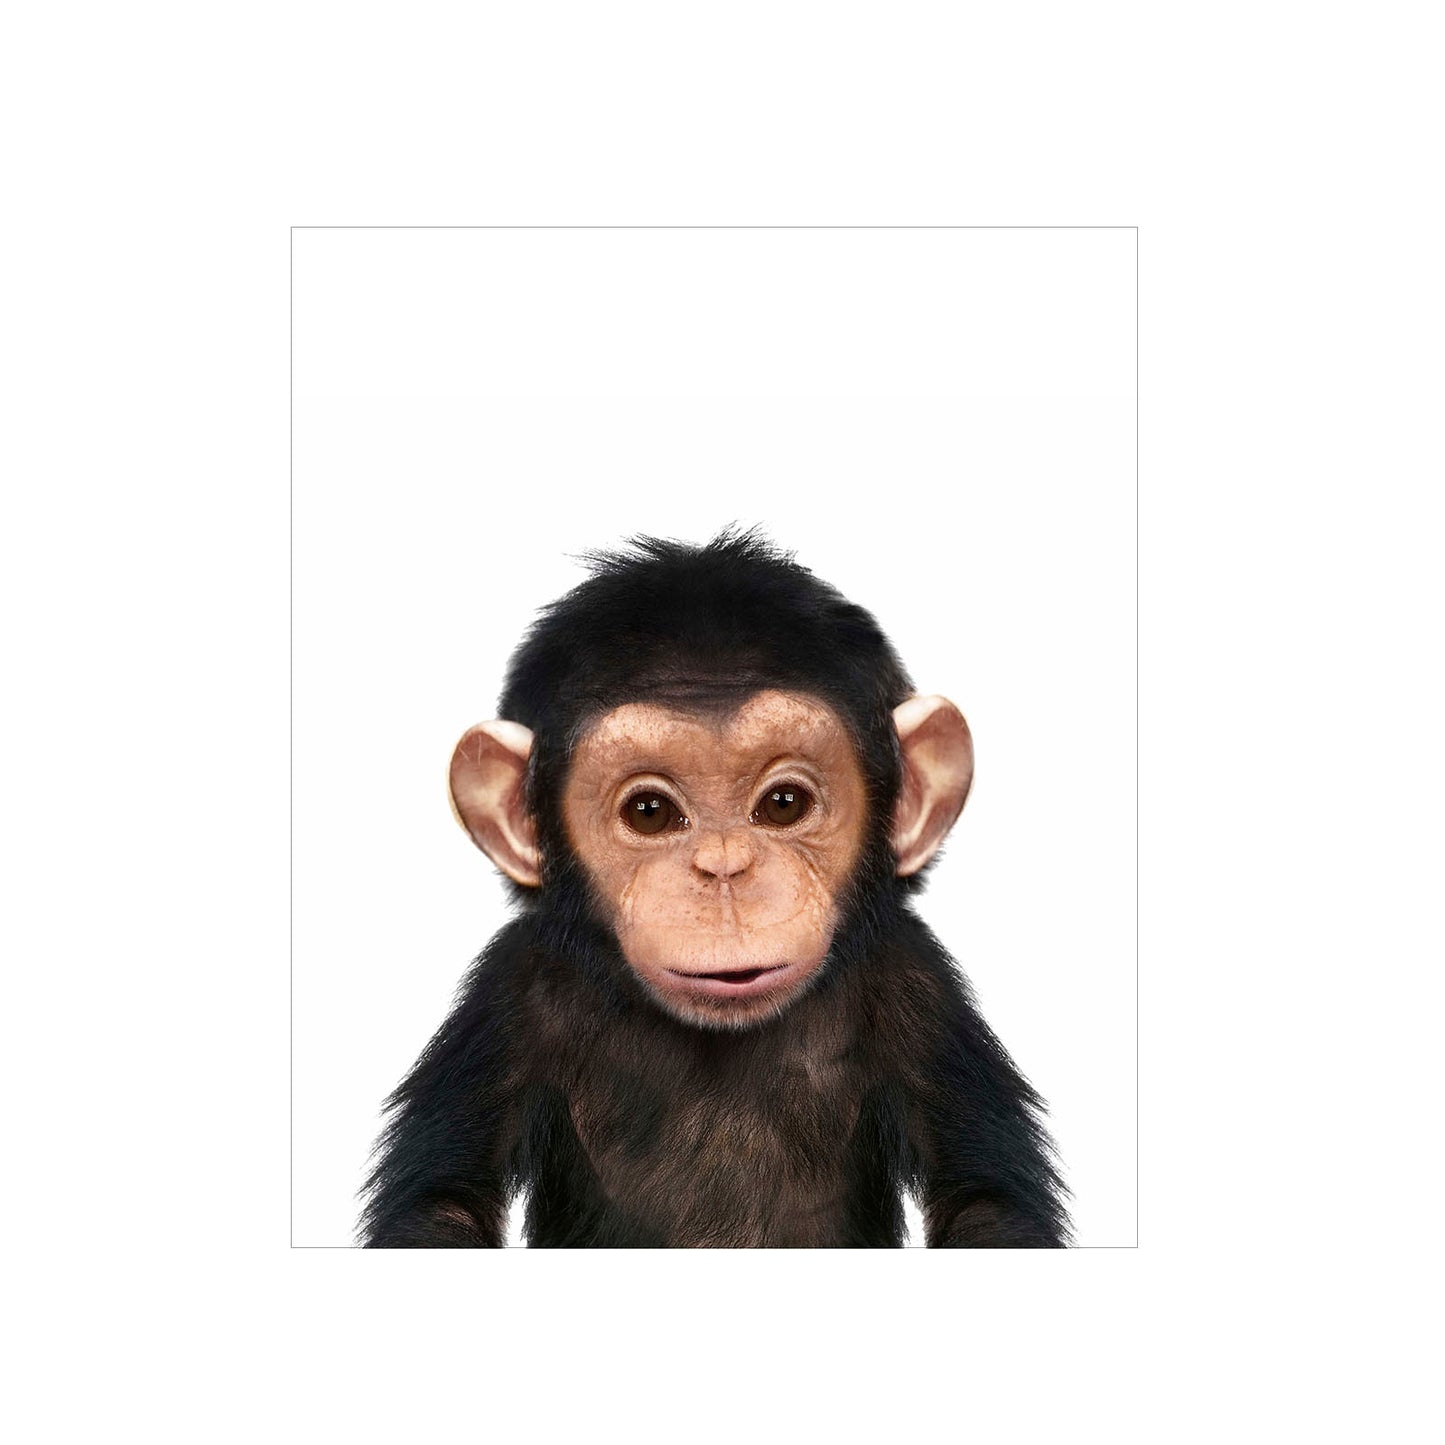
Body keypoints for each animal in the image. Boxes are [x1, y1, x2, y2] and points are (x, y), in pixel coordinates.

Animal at [360, 531, 1068, 1247]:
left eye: (784, 804)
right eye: (649, 812)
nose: (724, 870)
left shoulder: (918, 987)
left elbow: (984, 1201)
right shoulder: (509, 993)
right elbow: (445, 1202)